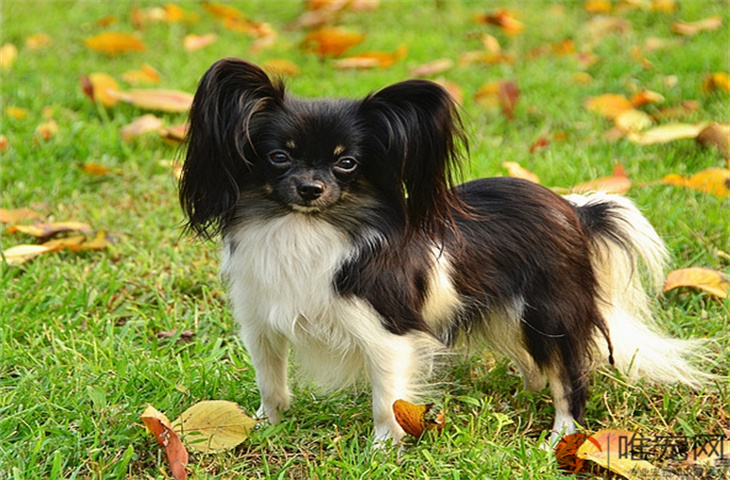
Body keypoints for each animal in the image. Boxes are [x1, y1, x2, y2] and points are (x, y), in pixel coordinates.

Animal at [179, 58, 708, 444]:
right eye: (278, 157)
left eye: (347, 164)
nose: (310, 188)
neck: (305, 227)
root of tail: (574, 211)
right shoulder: (261, 323)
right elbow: (271, 383)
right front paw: (260, 426)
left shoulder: (386, 334)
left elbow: (386, 399)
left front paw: (382, 448)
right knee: (538, 364)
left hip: (549, 313)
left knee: (567, 376)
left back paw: (561, 435)